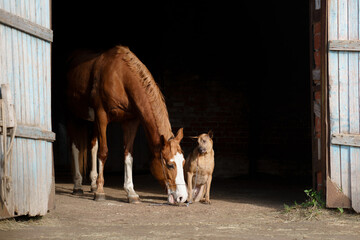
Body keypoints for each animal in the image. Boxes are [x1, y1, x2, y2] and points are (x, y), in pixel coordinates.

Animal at [66, 44, 188, 202]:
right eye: (170, 165)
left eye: (183, 162)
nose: (183, 197)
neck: (121, 78)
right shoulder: (102, 116)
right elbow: (103, 152)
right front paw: (100, 191)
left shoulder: (131, 121)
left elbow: (128, 155)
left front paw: (131, 192)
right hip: (72, 115)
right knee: (75, 147)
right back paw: (78, 185)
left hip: (93, 122)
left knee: (92, 146)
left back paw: (92, 184)